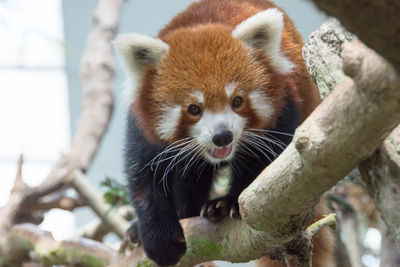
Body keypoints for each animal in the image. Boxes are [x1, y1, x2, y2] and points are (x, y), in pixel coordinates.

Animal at [114, 0, 332, 266]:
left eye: (237, 101)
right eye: (194, 109)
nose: (222, 136)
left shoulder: (284, 107)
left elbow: (269, 168)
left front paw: (232, 202)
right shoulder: (143, 127)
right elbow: (143, 178)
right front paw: (159, 240)